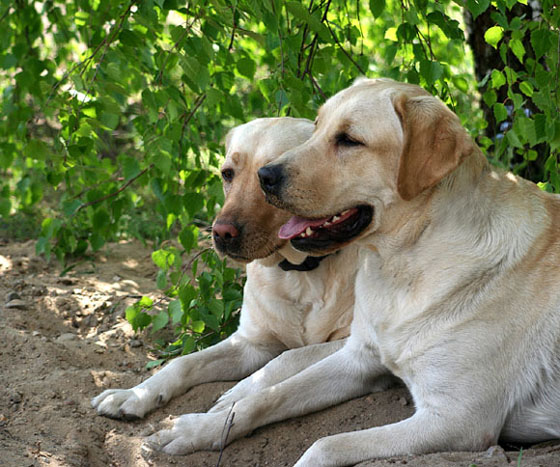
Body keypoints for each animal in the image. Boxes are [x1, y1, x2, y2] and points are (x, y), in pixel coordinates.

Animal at [91, 119, 394, 454]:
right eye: (227, 174)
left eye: (268, 178)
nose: (221, 233)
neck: (300, 272)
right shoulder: (249, 343)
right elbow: (181, 363)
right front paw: (135, 394)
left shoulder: (349, 344)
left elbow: (286, 358)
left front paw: (236, 394)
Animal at [250, 78, 560, 466]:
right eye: (317, 127)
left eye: (349, 140)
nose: (264, 176)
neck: (401, 265)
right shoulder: (359, 357)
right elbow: (267, 396)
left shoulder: (457, 420)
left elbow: (326, 444)